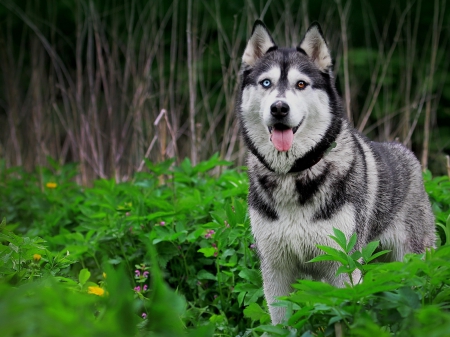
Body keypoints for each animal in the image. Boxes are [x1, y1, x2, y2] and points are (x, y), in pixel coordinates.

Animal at [236, 20, 436, 322]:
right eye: (266, 83)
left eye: (301, 84)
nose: (279, 107)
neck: (294, 174)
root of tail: (406, 152)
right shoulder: (276, 269)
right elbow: (282, 322)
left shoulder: (344, 266)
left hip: (411, 260)